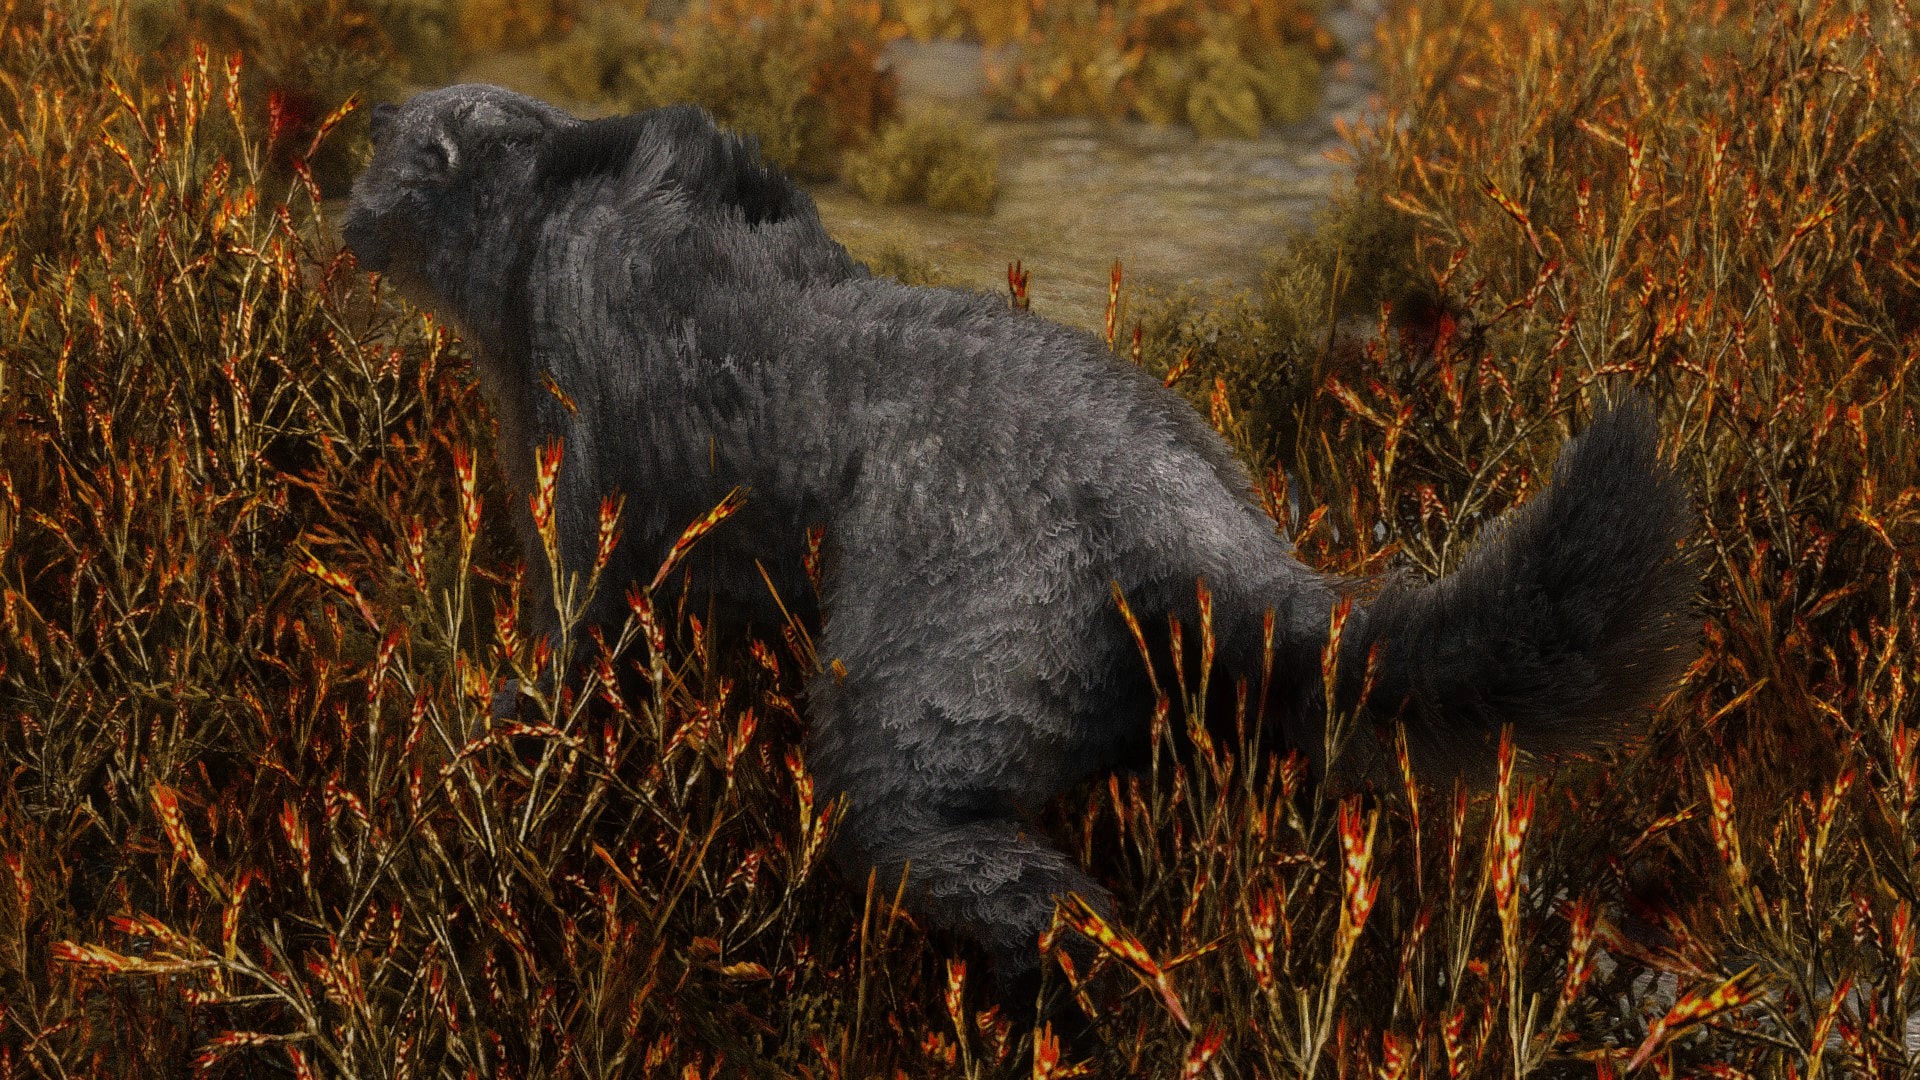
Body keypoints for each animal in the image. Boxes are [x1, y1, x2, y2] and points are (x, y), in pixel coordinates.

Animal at [341, 84, 1698, 994]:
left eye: (383, 155)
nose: (342, 214)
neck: (559, 203)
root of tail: (1206, 523)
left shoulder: (576, 424)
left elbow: (575, 588)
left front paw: (499, 715)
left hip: (947, 666)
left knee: (965, 847)